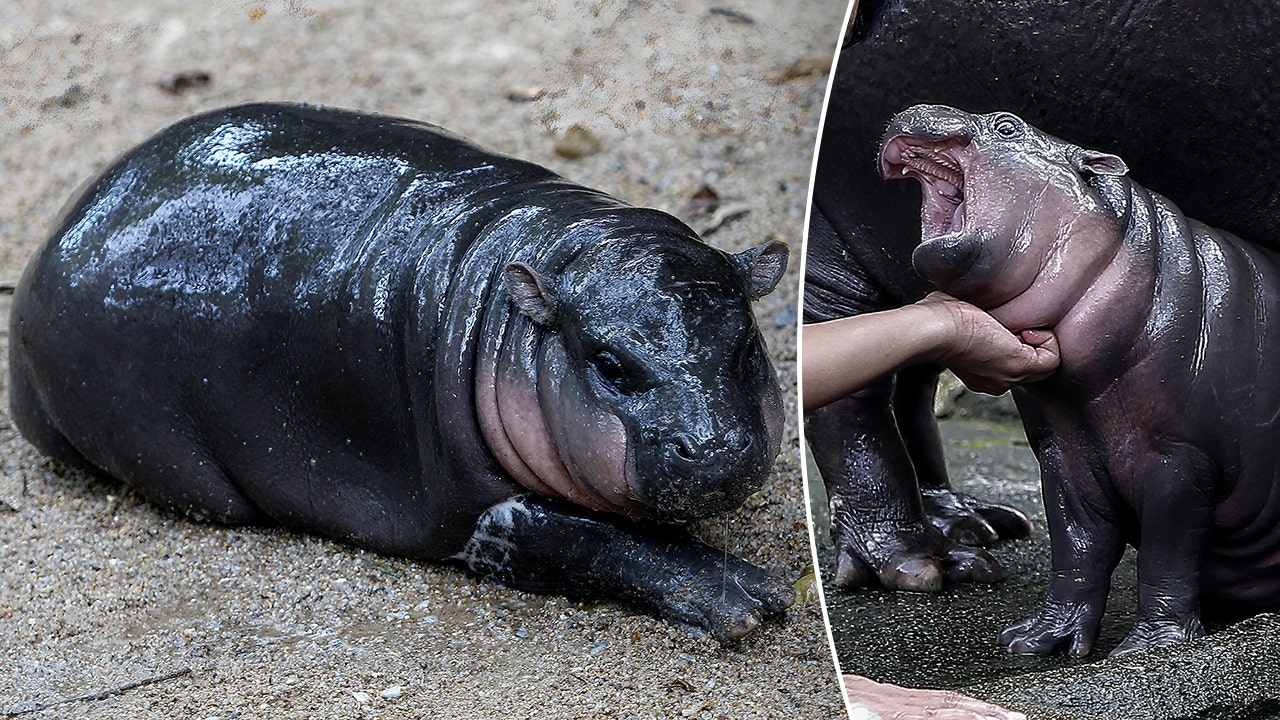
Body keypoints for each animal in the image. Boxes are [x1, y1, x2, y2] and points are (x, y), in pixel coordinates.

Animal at [7, 101, 788, 638]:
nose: (715, 446)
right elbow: (596, 539)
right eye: (610, 363)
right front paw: (748, 598)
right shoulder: (481, 519)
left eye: (747, 348)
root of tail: (49, 245)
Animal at [885, 102, 1280, 655]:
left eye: (1007, 124)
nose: (919, 107)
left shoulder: (1178, 458)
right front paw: (1034, 640)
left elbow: (1167, 551)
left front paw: (1150, 648)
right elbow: (1077, 546)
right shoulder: (1064, 452)